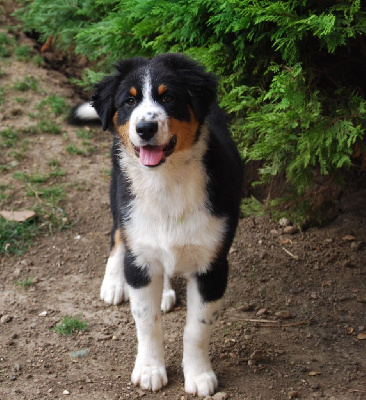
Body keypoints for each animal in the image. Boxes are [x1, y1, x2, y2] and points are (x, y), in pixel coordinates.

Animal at [73, 54, 242, 396]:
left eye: (168, 98)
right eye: (129, 100)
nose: (145, 127)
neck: (166, 181)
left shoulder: (213, 265)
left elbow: (197, 329)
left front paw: (199, 376)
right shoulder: (139, 260)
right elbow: (147, 322)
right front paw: (150, 370)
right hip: (119, 195)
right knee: (117, 236)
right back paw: (114, 283)